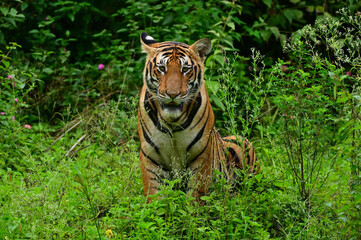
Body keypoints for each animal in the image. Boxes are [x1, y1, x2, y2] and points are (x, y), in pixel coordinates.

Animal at [136, 31, 258, 202]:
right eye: (161, 68)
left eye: (185, 69)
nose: (172, 94)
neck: (172, 121)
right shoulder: (150, 157)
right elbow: (155, 197)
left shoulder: (201, 156)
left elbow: (195, 197)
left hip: (241, 142)